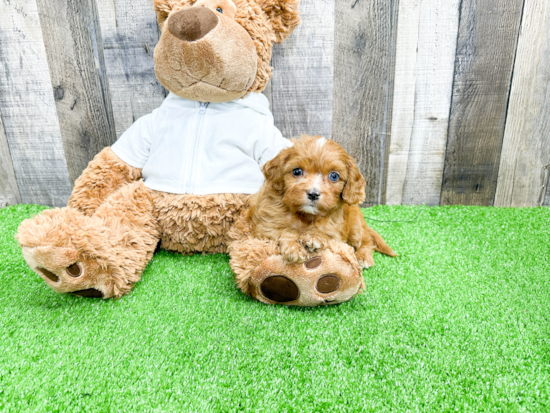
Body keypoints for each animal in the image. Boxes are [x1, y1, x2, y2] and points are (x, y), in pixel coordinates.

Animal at [248, 135, 398, 268]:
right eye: (297, 171)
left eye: (334, 176)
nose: (313, 194)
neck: (306, 215)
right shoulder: (266, 228)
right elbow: (287, 230)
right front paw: (294, 248)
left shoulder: (336, 234)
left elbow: (325, 233)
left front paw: (315, 237)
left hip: (355, 227)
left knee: (366, 239)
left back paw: (363, 256)